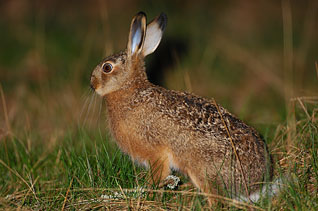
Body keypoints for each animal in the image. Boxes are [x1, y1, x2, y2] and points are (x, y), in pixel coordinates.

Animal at [90, 11, 274, 204]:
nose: (92, 84)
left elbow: (159, 174)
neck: (129, 89)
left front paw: (149, 193)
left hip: (202, 168)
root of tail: (255, 184)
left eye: (107, 68)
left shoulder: (156, 153)